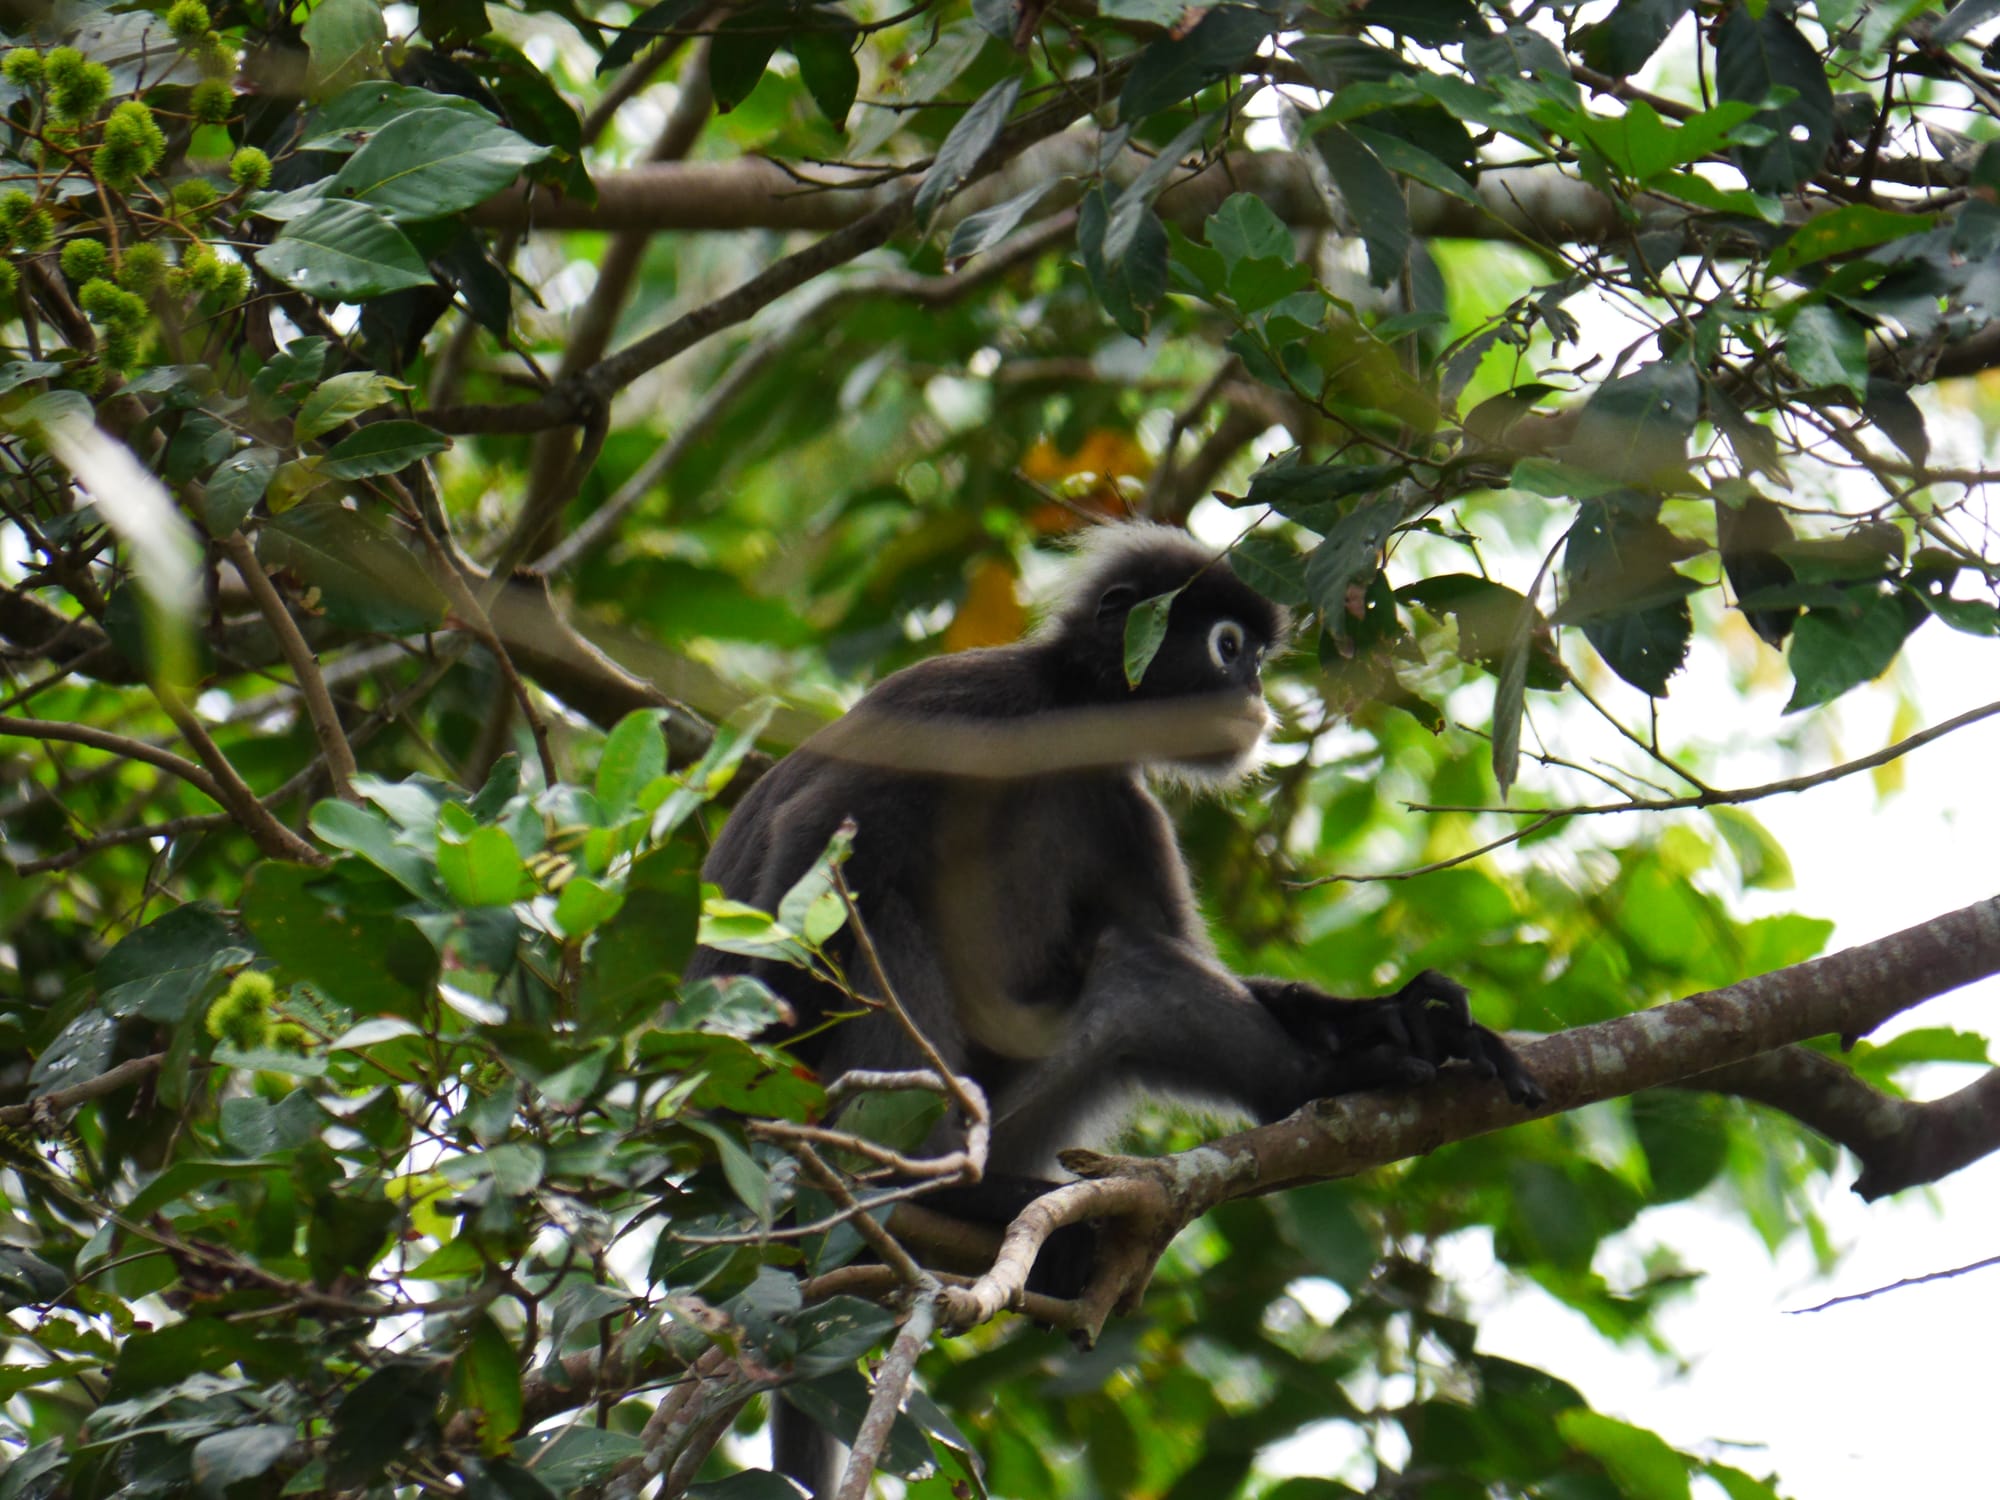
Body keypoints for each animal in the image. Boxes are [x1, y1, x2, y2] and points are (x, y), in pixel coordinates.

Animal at [681, 523, 1543, 1493]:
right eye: (1229, 648)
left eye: (1258, 656)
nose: (1254, 695)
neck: (1057, 725)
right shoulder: (953, 703)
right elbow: (792, 879)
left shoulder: (1121, 802)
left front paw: (1394, 1017)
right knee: (877, 901)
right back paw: (914, 1182)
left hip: (1028, 1108)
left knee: (1132, 966)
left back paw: (1339, 1073)